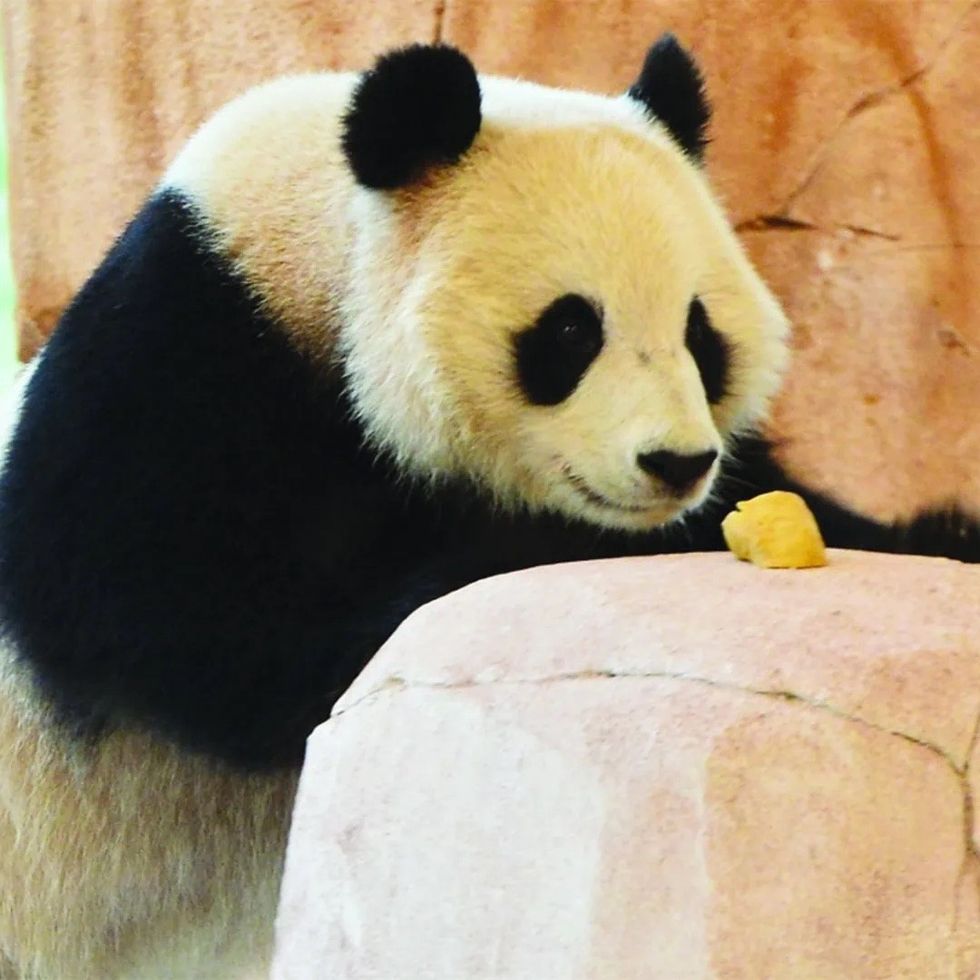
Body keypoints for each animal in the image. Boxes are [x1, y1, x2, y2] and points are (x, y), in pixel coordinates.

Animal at [0, 35, 977, 980]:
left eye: (701, 334)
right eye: (572, 329)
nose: (677, 464)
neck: (313, 253)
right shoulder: (173, 372)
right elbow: (187, 629)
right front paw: (524, 547)